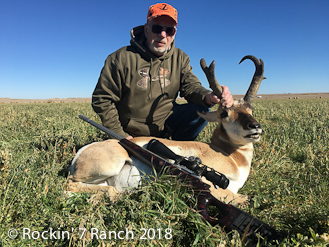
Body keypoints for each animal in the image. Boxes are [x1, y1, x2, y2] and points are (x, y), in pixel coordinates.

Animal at [66, 55, 264, 206]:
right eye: (224, 113)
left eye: (250, 109)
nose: (255, 127)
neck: (231, 156)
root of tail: (81, 153)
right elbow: (239, 197)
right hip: (111, 165)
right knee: (71, 185)